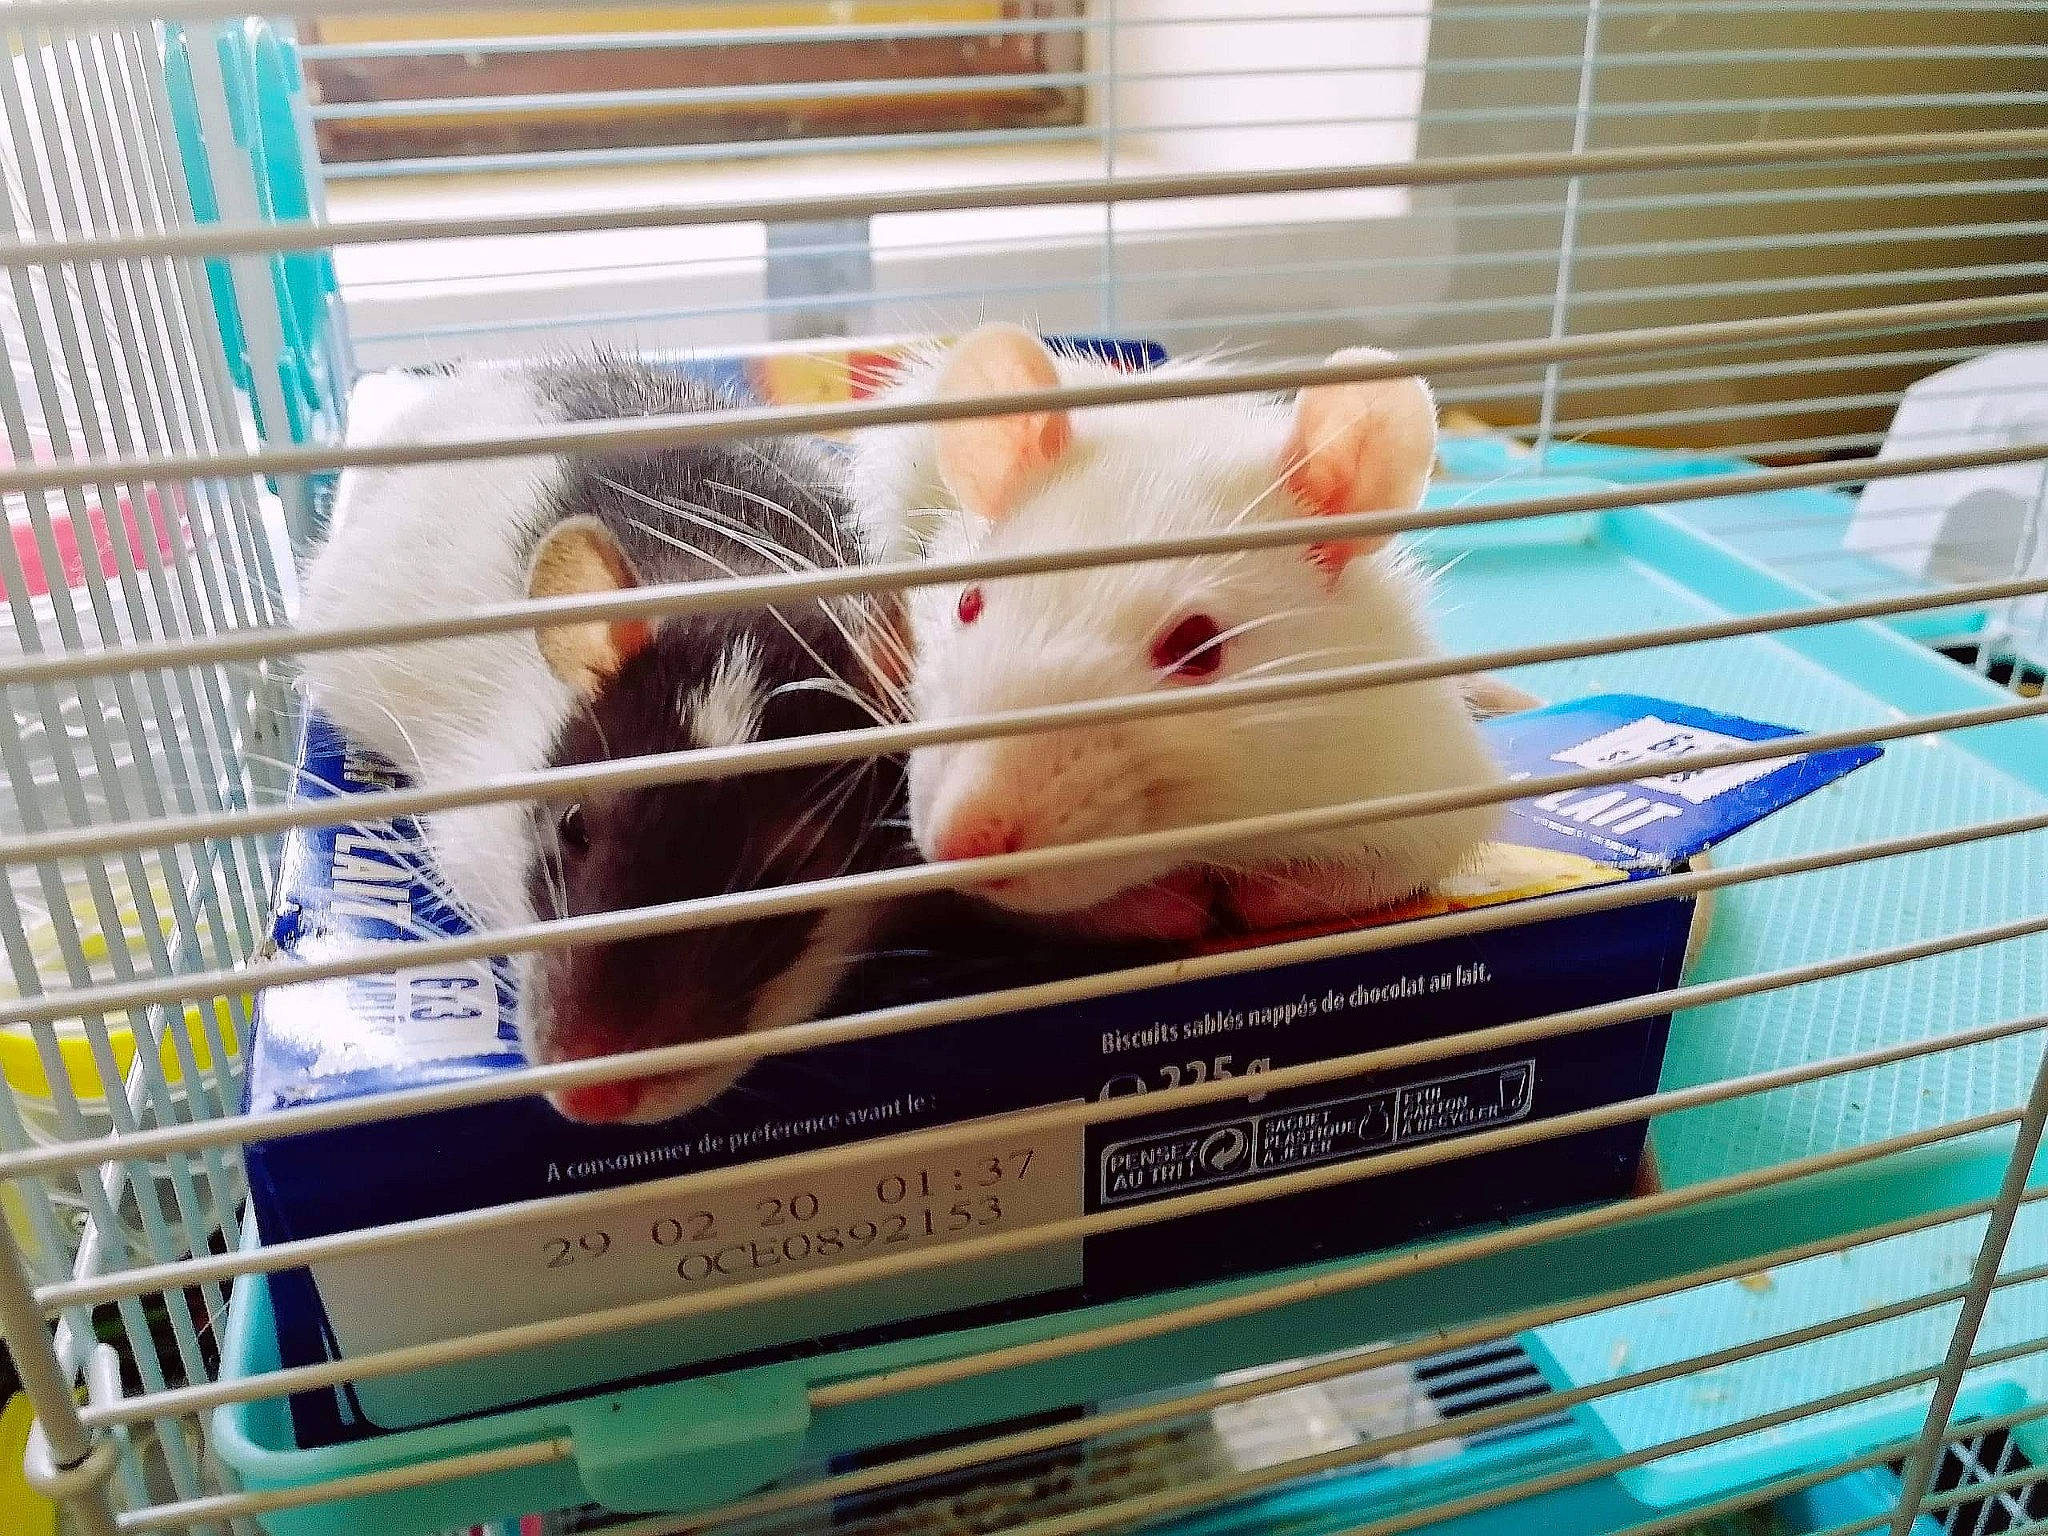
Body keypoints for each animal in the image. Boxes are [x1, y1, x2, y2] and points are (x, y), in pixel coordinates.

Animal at [850, 324, 1503, 943]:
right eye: (967, 603)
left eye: (1197, 646)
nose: (964, 843)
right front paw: (1170, 903)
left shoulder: (1406, 753)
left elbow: (1397, 862)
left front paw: (1255, 894)